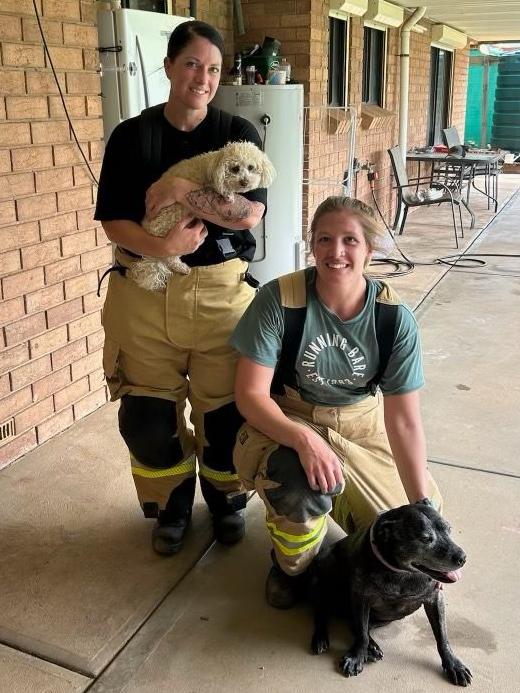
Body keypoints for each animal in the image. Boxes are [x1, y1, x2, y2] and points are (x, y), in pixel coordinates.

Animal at [129, 141, 276, 292]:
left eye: (251, 167)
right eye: (235, 169)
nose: (245, 182)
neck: (214, 162)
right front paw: (228, 194)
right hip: (170, 224)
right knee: (170, 258)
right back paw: (182, 267)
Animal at [310, 498, 474, 688]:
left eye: (449, 529)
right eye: (425, 539)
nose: (462, 557)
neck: (403, 574)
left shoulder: (435, 599)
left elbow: (442, 636)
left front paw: (453, 665)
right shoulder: (361, 598)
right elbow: (361, 633)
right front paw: (357, 656)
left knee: (356, 625)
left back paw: (372, 648)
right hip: (324, 576)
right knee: (323, 612)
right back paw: (322, 638)